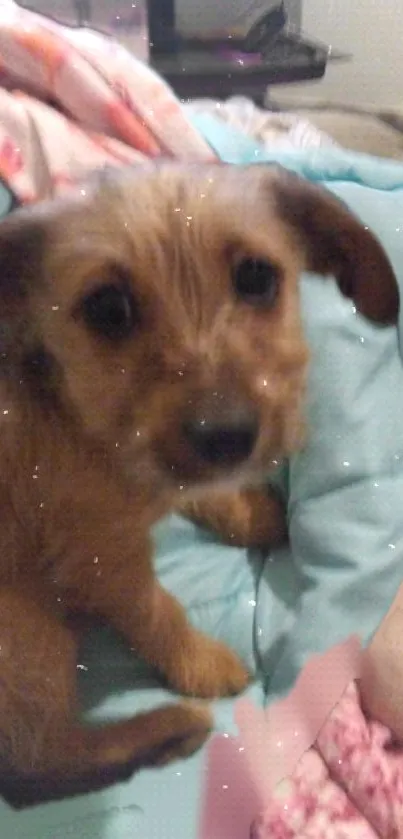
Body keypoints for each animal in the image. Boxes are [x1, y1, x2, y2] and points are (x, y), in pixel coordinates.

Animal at [0, 159, 398, 808]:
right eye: (107, 308)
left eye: (256, 277)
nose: (228, 434)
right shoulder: (100, 559)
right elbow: (157, 614)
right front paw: (204, 664)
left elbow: (202, 490)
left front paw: (248, 512)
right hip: (25, 629)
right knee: (36, 764)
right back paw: (167, 728)